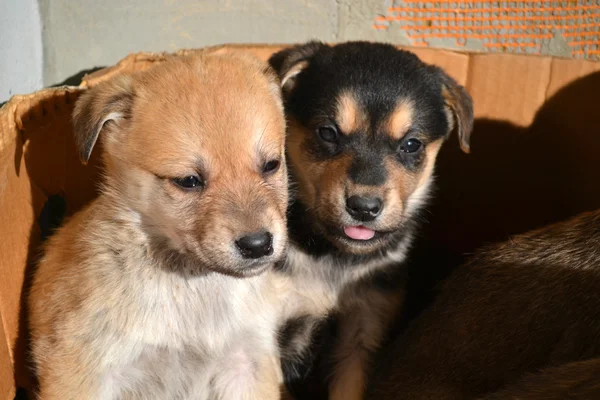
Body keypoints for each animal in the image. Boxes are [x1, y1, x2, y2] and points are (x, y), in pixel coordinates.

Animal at [28, 51, 288, 398]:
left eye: (271, 164)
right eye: (188, 181)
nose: (258, 244)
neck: (193, 285)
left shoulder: (246, 362)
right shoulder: (84, 368)